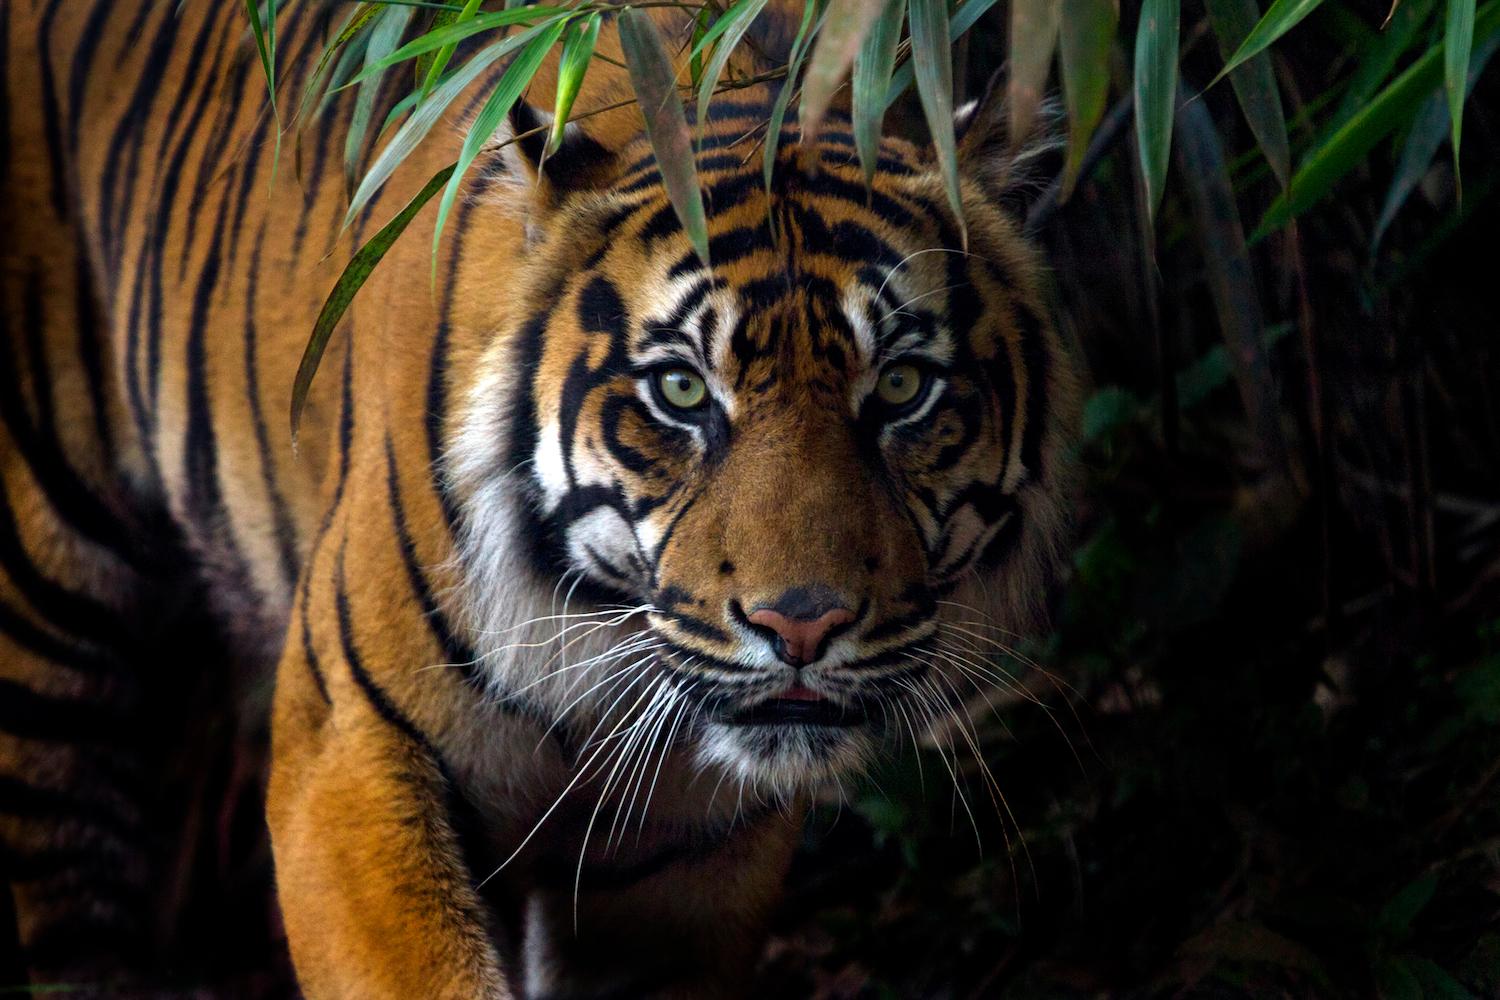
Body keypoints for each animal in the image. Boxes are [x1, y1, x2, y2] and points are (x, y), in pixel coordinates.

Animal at [0, 0, 1080, 995]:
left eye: (900, 388)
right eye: (681, 390)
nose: (802, 626)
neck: (600, 639)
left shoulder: (680, 858)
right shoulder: (346, 748)